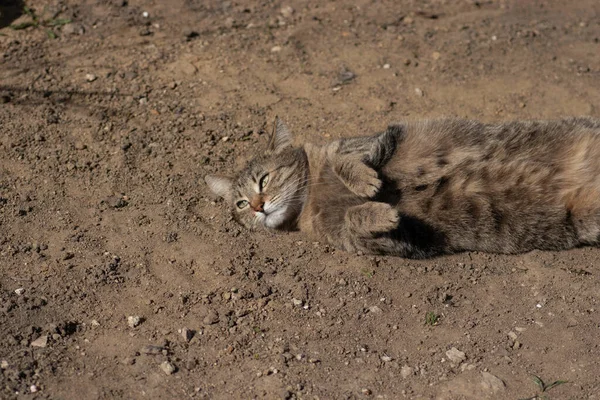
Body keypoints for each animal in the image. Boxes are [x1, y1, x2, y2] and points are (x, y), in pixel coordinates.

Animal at [204, 117, 600, 258]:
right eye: (240, 204)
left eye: (264, 179)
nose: (258, 206)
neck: (311, 197)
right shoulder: (394, 241)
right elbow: (355, 220)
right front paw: (379, 211)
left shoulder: (375, 140)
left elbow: (343, 157)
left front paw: (365, 182)